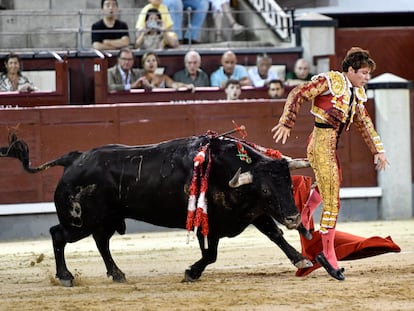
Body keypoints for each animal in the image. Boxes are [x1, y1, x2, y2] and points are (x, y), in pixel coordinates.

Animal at [0, 133, 310, 288]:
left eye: (288, 183)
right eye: (266, 190)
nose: (294, 217)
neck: (225, 170)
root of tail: (75, 157)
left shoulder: (253, 213)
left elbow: (275, 235)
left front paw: (301, 260)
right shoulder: (208, 224)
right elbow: (211, 254)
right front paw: (191, 272)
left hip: (106, 219)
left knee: (101, 242)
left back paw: (117, 274)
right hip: (81, 221)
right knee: (58, 235)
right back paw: (66, 277)